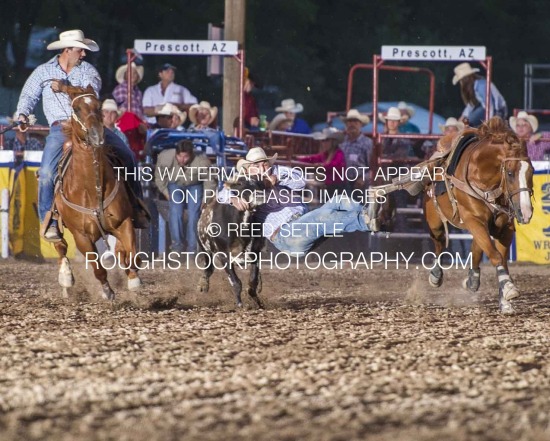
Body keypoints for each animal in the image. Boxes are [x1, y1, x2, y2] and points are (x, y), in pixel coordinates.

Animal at [52, 85, 141, 300]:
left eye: (98, 106)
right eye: (76, 109)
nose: (96, 135)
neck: (91, 190)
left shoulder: (123, 222)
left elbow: (131, 252)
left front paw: (133, 279)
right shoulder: (81, 236)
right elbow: (97, 267)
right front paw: (107, 291)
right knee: (60, 245)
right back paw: (66, 278)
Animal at [426, 117, 536, 312]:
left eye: (532, 171)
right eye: (510, 173)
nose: (526, 211)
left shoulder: (504, 227)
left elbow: (500, 258)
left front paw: (504, 301)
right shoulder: (474, 219)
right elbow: (495, 255)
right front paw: (509, 288)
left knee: (476, 246)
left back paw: (472, 279)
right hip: (436, 221)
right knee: (439, 243)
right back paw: (436, 275)